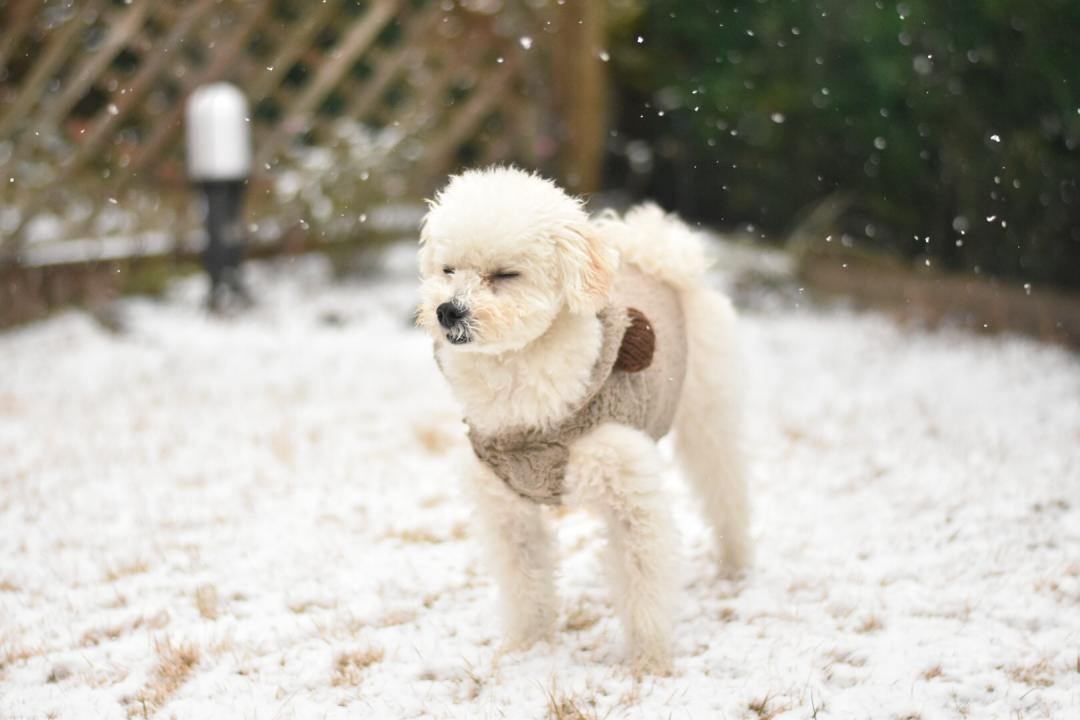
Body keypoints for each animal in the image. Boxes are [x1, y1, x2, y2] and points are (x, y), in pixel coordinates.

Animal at [414, 166, 751, 673]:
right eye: (448, 269)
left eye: (506, 274)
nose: (447, 310)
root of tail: (655, 255)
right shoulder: (505, 507)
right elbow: (525, 583)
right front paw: (526, 647)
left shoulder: (631, 490)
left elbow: (644, 585)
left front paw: (649, 663)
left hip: (710, 410)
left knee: (726, 486)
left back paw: (736, 563)